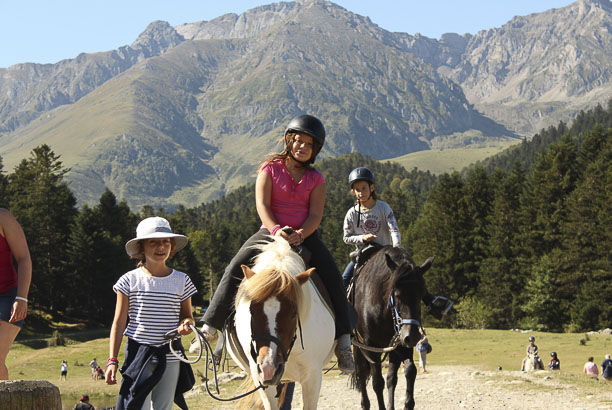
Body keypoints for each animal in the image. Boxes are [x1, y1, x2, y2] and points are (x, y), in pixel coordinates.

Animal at [352, 247, 432, 410]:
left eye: (421, 294)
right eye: (397, 294)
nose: (413, 336)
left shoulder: (402, 343)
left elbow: (410, 370)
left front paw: (408, 404)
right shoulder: (371, 347)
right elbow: (377, 382)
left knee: (391, 378)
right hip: (358, 347)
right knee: (362, 375)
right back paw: (365, 404)